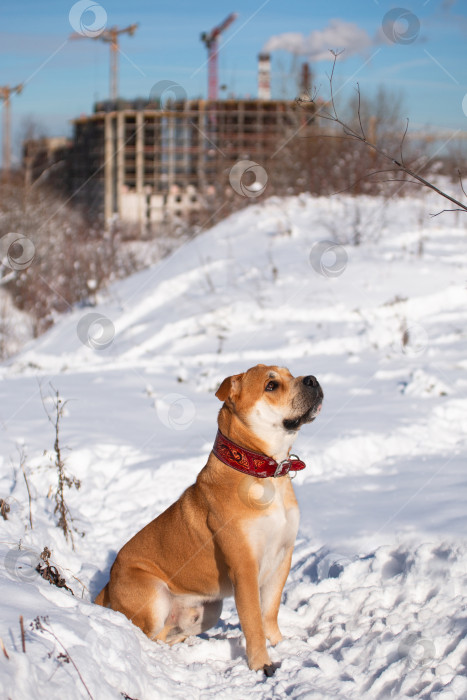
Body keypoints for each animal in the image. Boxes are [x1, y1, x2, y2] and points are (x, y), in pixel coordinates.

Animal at [94, 364, 322, 676]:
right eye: (271, 385)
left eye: (290, 373)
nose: (312, 379)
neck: (265, 472)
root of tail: (107, 586)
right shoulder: (244, 566)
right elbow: (253, 620)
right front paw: (262, 664)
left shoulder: (282, 556)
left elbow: (270, 612)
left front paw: (280, 644)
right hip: (154, 596)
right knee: (147, 634)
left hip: (208, 610)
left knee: (169, 633)